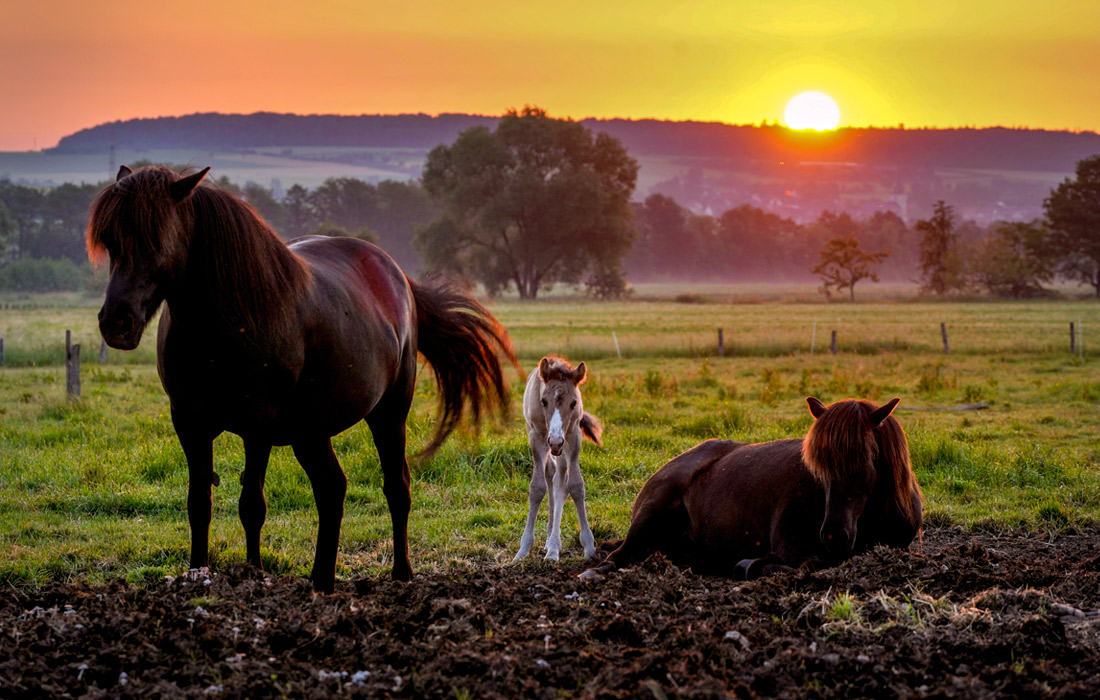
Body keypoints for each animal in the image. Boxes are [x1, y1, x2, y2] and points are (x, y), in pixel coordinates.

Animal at [87, 165, 518, 593]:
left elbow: (252, 505)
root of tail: (395, 274)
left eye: (155, 239)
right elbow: (199, 505)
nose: (116, 323)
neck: (225, 322)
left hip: (389, 414)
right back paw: (321, 580)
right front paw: (199, 574)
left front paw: (254, 573)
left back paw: (400, 574)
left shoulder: (257, 424)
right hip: (310, 431)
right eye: (111, 242)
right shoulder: (190, 423)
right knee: (332, 488)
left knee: (396, 487)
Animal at [514, 357, 603, 562]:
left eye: (573, 403)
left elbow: (576, 486)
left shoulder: (573, 436)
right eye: (543, 401)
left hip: (563, 448)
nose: (555, 441)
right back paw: (550, 543)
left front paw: (589, 546)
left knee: (560, 482)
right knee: (551, 476)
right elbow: (537, 488)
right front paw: (523, 549)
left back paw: (553, 545)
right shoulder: (537, 437)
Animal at [580, 397, 922, 580]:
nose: (833, 536)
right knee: (619, 556)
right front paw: (750, 563)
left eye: (865, 460)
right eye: (819, 468)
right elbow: (807, 565)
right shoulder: (792, 546)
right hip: (653, 510)